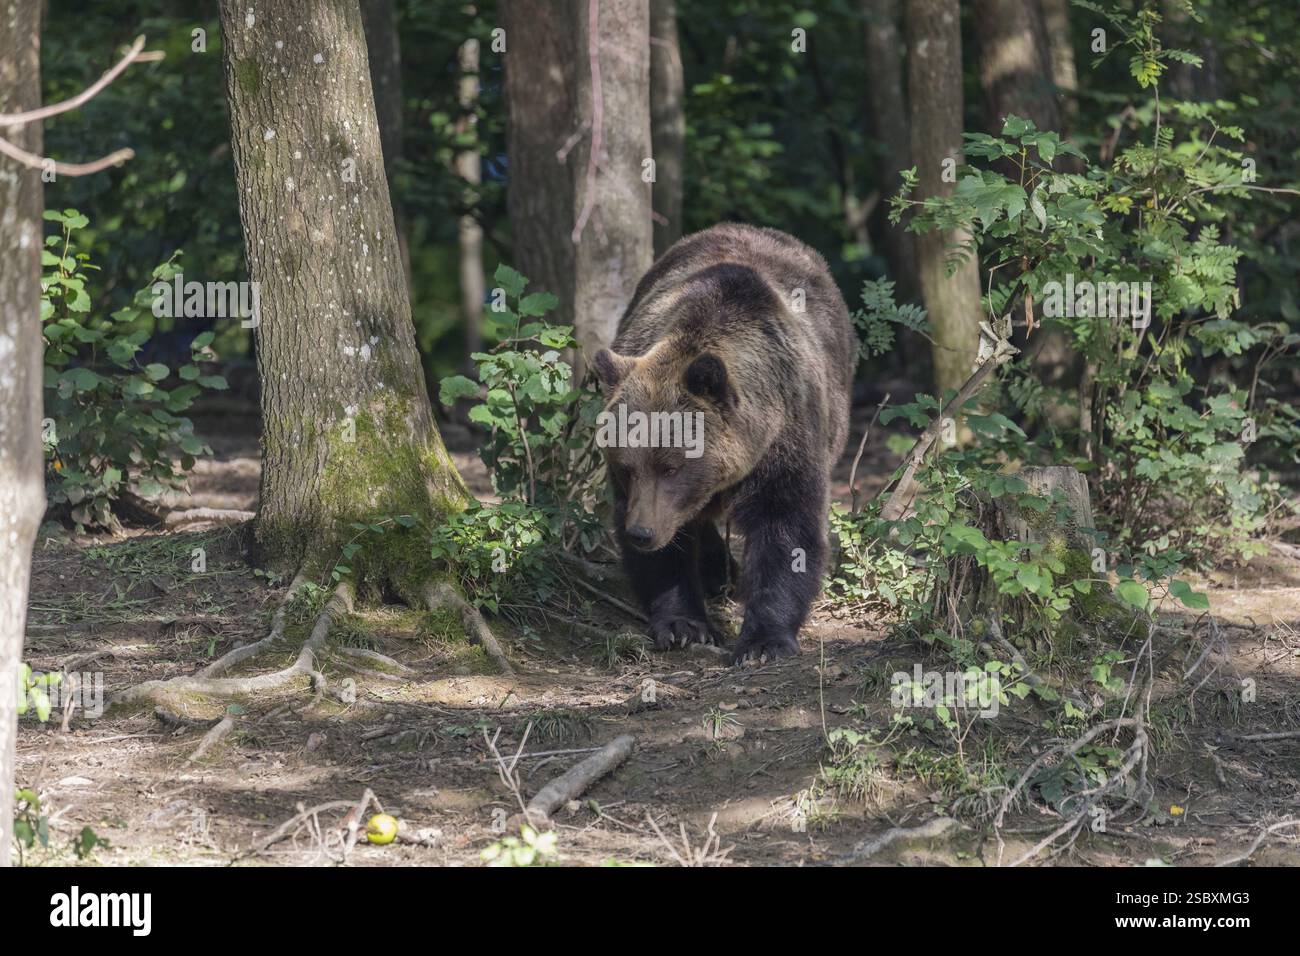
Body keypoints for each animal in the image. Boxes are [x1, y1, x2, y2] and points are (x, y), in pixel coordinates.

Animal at [592, 223, 856, 663]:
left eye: (671, 465)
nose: (640, 533)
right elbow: (669, 553)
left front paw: (764, 641)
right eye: (626, 467)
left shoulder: (789, 436)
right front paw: (683, 625)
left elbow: (787, 528)